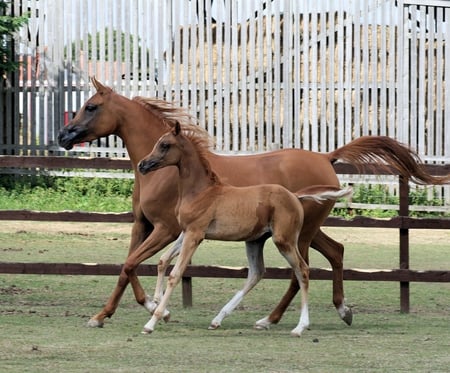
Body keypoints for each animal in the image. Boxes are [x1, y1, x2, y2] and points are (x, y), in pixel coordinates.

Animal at [139, 122, 354, 334]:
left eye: (165, 145)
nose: (142, 165)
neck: (201, 191)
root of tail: (295, 196)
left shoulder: (195, 234)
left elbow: (175, 274)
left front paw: (152, 321)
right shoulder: (186, 232)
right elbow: (163, 260)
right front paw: (157, 302)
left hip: (284, 240)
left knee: (302, 270)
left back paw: (300, 326)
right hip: (255, 241)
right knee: (256, 273)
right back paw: (219, 319)